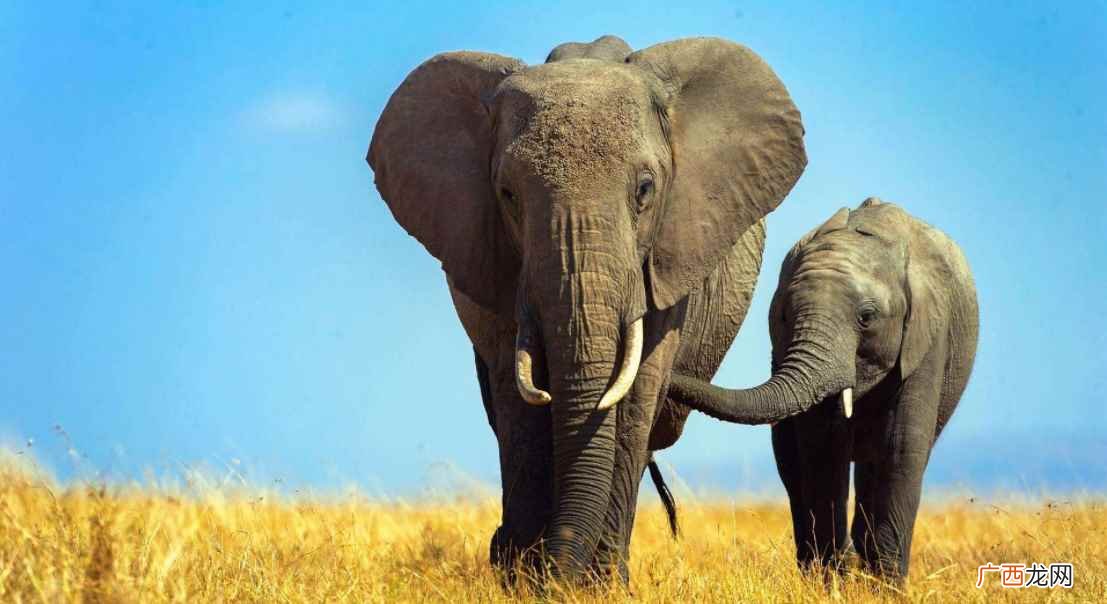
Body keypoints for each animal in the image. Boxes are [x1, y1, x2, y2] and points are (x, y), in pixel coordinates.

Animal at [366, 34, 807, 582]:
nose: (551, 568)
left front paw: (594, 583)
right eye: (507, 194)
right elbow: (519, 399)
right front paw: (526, 579)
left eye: (645, 190)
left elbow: (635, 393)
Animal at [666, 198, 979, 582]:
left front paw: (883, 585)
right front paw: (834, 579)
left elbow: (900, 445)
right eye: (784, 315)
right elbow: (823, 446)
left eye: (866, 318)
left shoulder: (928, 336)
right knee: (792, 464)